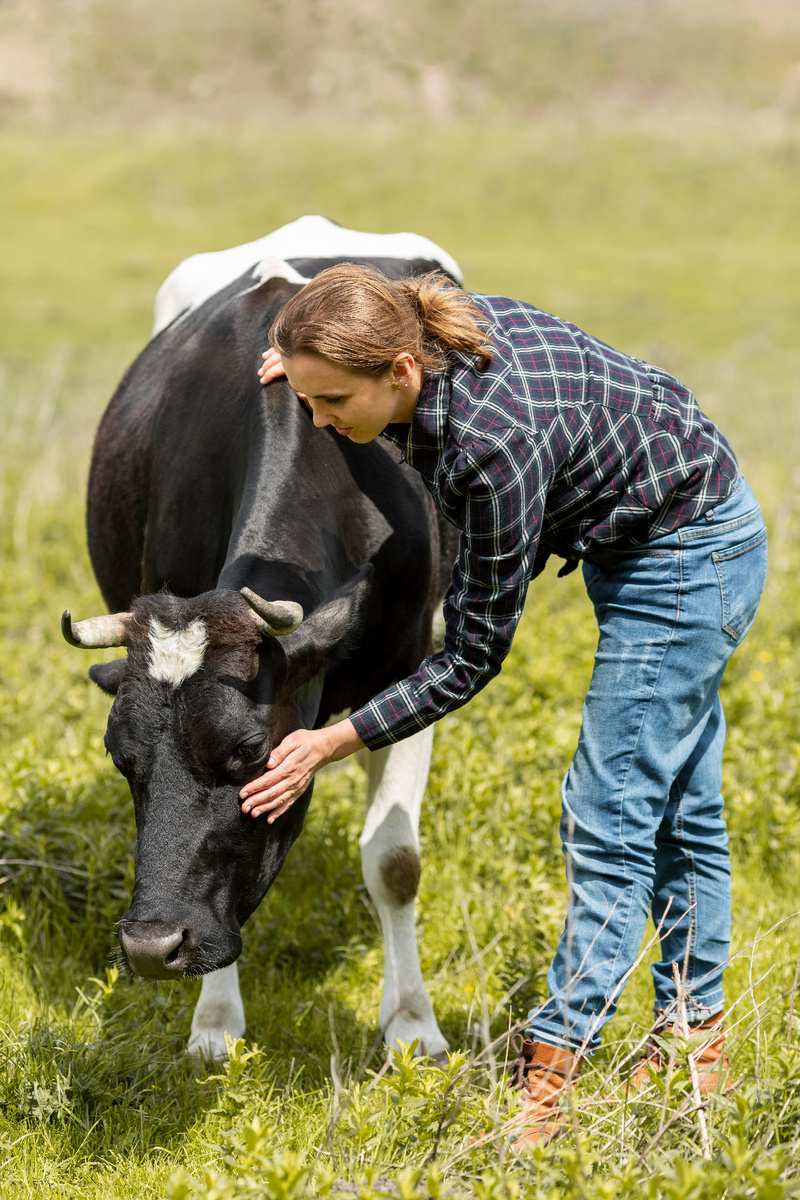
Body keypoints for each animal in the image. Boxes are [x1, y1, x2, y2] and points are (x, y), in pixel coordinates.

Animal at [62, 217, 461, 1060]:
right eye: (121, 757)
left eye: (247, 752)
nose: (152, 946)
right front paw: (214, 1022)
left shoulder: (416, 666)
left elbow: (395, 859)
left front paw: (412, 1024)